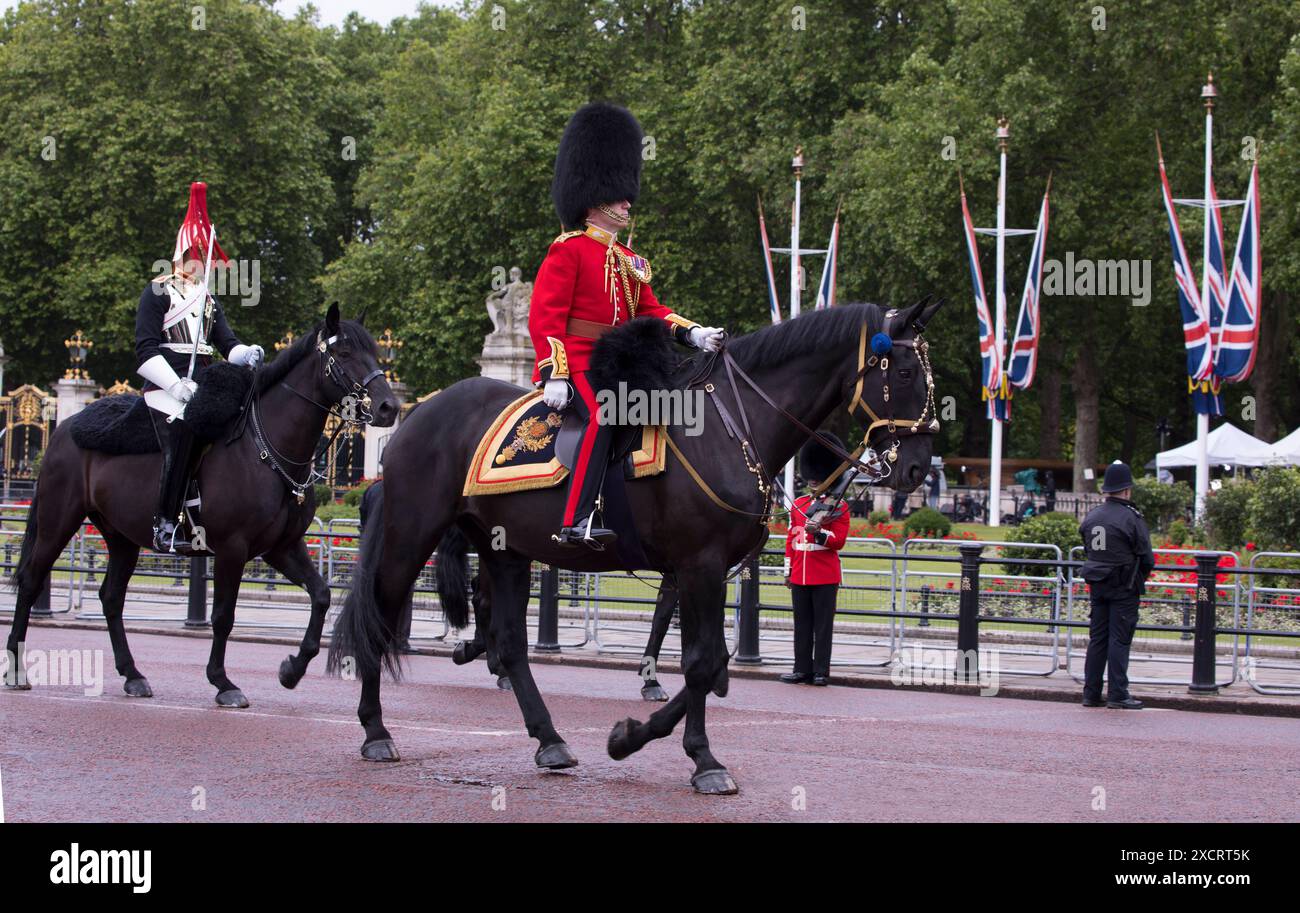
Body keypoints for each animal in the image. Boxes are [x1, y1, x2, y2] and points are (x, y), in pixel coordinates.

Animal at [5, 306, 395, 707]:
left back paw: (133, 676)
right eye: (345, 353)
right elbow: (223, 615)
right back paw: (18, 670)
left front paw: (292, 669)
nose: (388, 407)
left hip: (121, 535)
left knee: (111, 598)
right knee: (31, 581)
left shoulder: (281, 547)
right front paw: (223, 682)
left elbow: (320, 595)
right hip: (59, 520)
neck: (267, 448)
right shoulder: (232, 548)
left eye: (376, 354)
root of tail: (63, 426)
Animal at [330, 299, 941, 795]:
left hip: (505, 549)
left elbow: (712, 663)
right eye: (906, 371)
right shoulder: (699, 564)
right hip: (412, 534)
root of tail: (414, 414)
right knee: (380, 613)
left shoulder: (705, 570)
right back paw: (376, 729)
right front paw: (701, 760)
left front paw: (632, 737)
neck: (729, 429)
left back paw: (548, 739)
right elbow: (700, 663)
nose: (915, 469)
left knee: (510, 642)